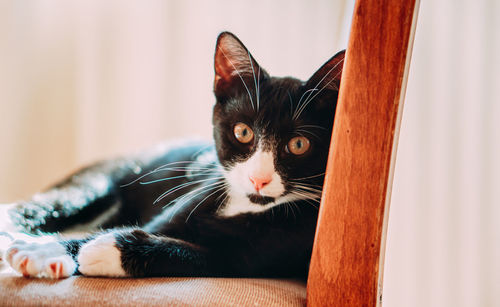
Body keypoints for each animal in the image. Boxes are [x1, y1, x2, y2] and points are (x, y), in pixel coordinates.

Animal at [0, 32, 344, 280]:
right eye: (243, 132)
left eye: (298, 145)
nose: (258, 179)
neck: (246, 206)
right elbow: (145, 230)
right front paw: (48, 249)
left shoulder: (262, 255)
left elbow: (205, 256)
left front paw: (105, 250)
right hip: (91, 186)